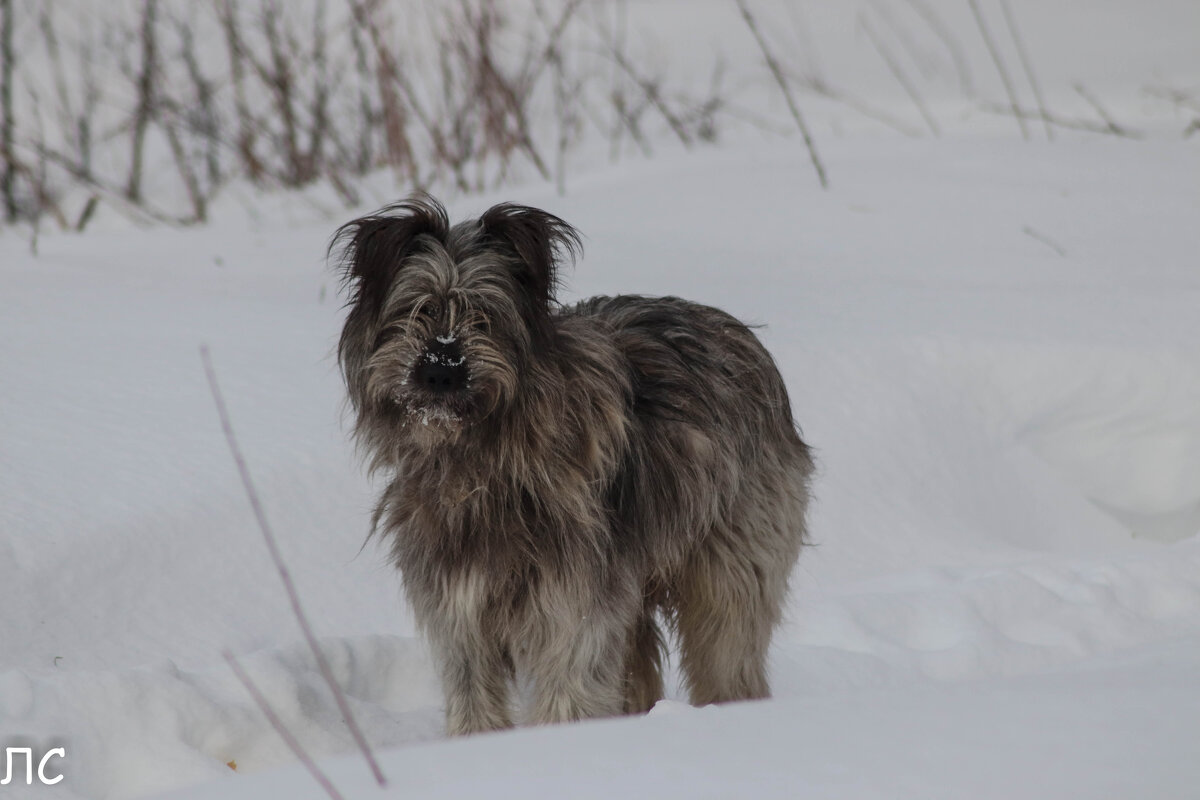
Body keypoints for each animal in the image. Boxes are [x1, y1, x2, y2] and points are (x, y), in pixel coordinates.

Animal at [333, 196, 811, 734]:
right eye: (416, 310)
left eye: (484, 316)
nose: (441, 369)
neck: (484, 464)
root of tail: (737, 330)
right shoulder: (459, 613)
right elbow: (474, 695)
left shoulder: (574, 608)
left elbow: (570, 686)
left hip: (731, 563)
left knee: (728, 649)